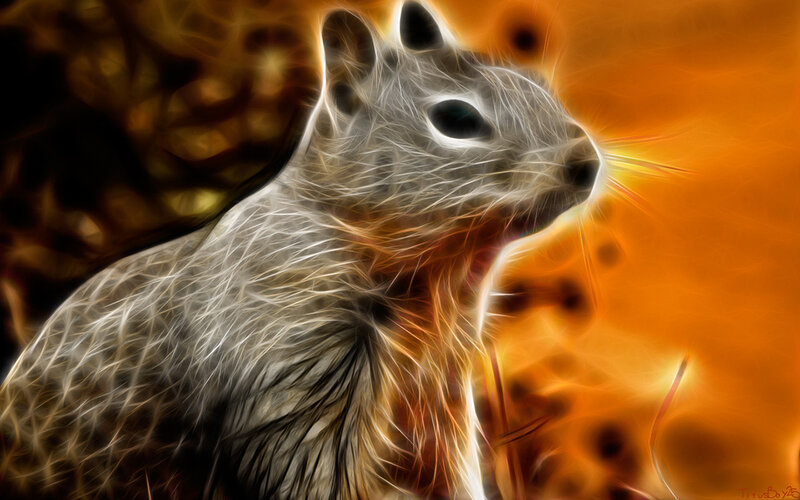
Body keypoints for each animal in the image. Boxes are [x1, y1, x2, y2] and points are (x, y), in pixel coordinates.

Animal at [0, 1, 601, 498]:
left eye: (533, 83)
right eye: (455, 119)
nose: (585, 163)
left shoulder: (441, 396)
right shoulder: (292, 367)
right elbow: (311, 470)